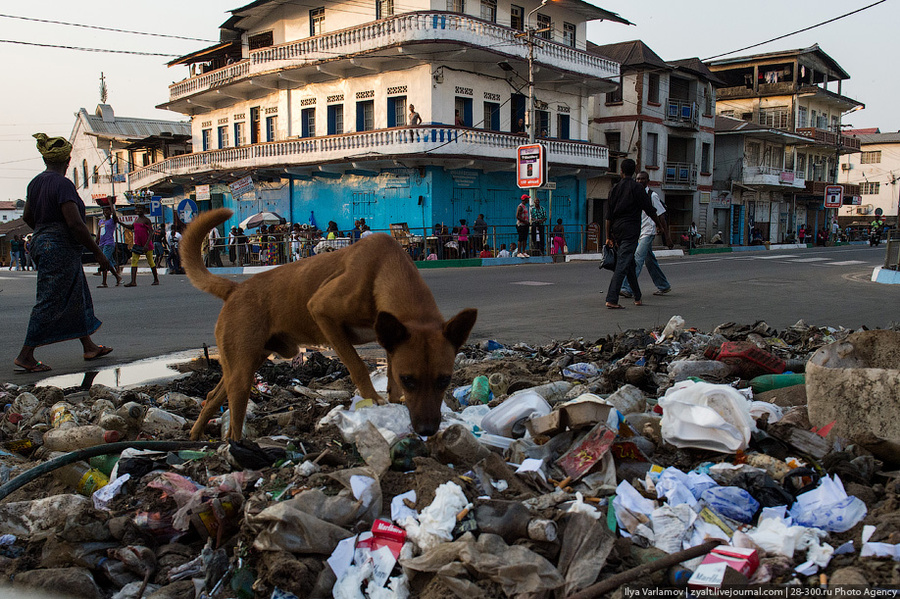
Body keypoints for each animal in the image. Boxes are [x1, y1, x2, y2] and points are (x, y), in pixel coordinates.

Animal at [181, 210, 478, 440]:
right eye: (410, 380)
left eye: (445, 380)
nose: (427, 430)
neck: (384, 270)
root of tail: (235, 289)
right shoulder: (323, 312)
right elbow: (357, 365)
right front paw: (372, 399)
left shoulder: (391, 343)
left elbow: (391, 381)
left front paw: (392, 402)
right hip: (243, 372)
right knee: (234, 412)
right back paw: (234, 445)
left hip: (247, 360)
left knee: (213, 394)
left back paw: (196, 435)